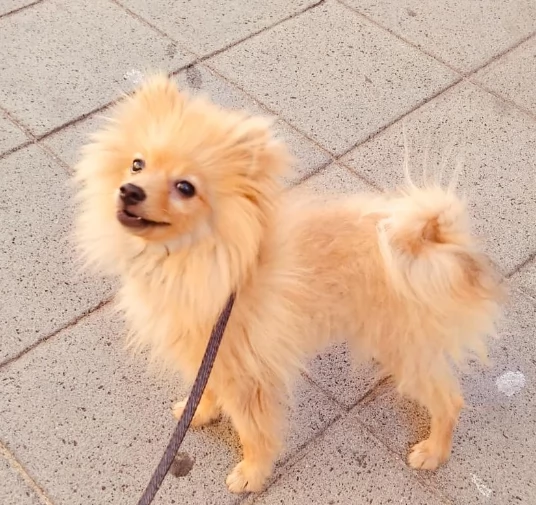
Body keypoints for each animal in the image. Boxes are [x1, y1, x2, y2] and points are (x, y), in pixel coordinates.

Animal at [73, 75, 504, 492]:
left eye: (185, 188)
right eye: (137, 164)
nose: (130, 190)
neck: (199, 259)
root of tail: (439, 247)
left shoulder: (246, 374)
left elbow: (254, 432)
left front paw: (252, 473)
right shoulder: (209, 357)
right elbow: (205, 390)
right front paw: (200, 413)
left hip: (407, 346)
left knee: (450, 400)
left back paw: (434, 451)